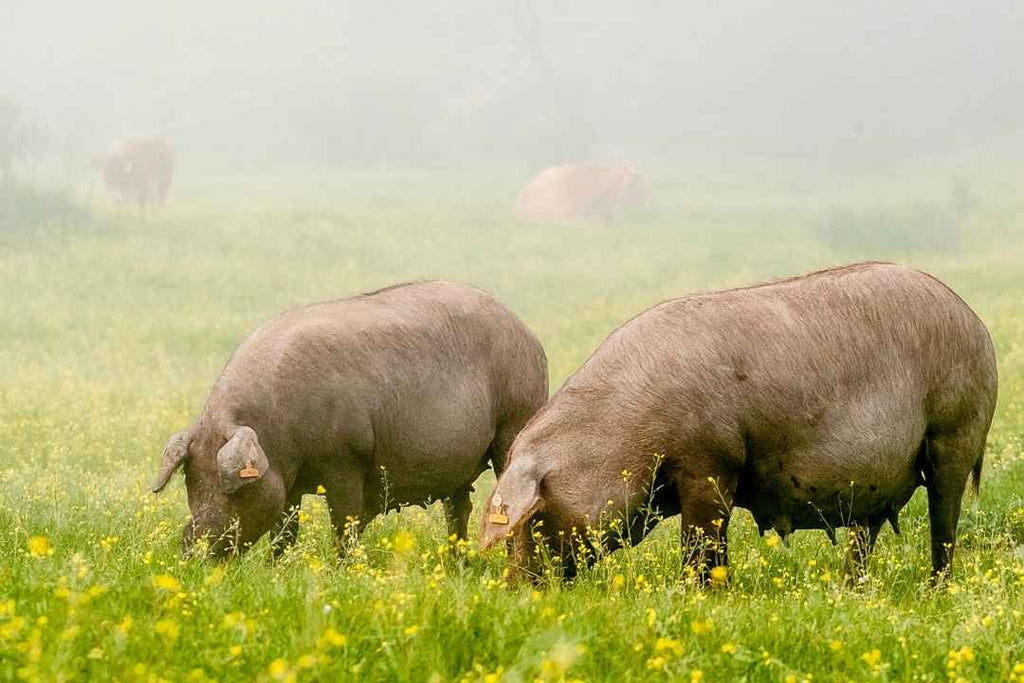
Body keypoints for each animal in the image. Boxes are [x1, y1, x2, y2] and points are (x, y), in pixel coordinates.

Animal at [151, 281, 548, 558]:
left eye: (234, 487)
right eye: (191, 483)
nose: (192, 550)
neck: (277, 430)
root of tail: (529, 334)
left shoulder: (345, 460)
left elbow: (344, 526)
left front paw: (339, 571)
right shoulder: (286, 483)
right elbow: (284, 533)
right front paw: (276, 568)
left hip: (516, 418)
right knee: (458, 509)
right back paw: (457, 566)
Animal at [481, 262, 997, 583]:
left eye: (535, 516)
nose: (518, 588)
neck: (630, 432)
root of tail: (975, 321)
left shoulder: (709, 463)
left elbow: (702, 545)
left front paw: (703, 596)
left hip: (957, 432)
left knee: (944, 521)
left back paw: (935, 590)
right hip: (880, 481)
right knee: (864, 536)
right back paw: (851, 590)